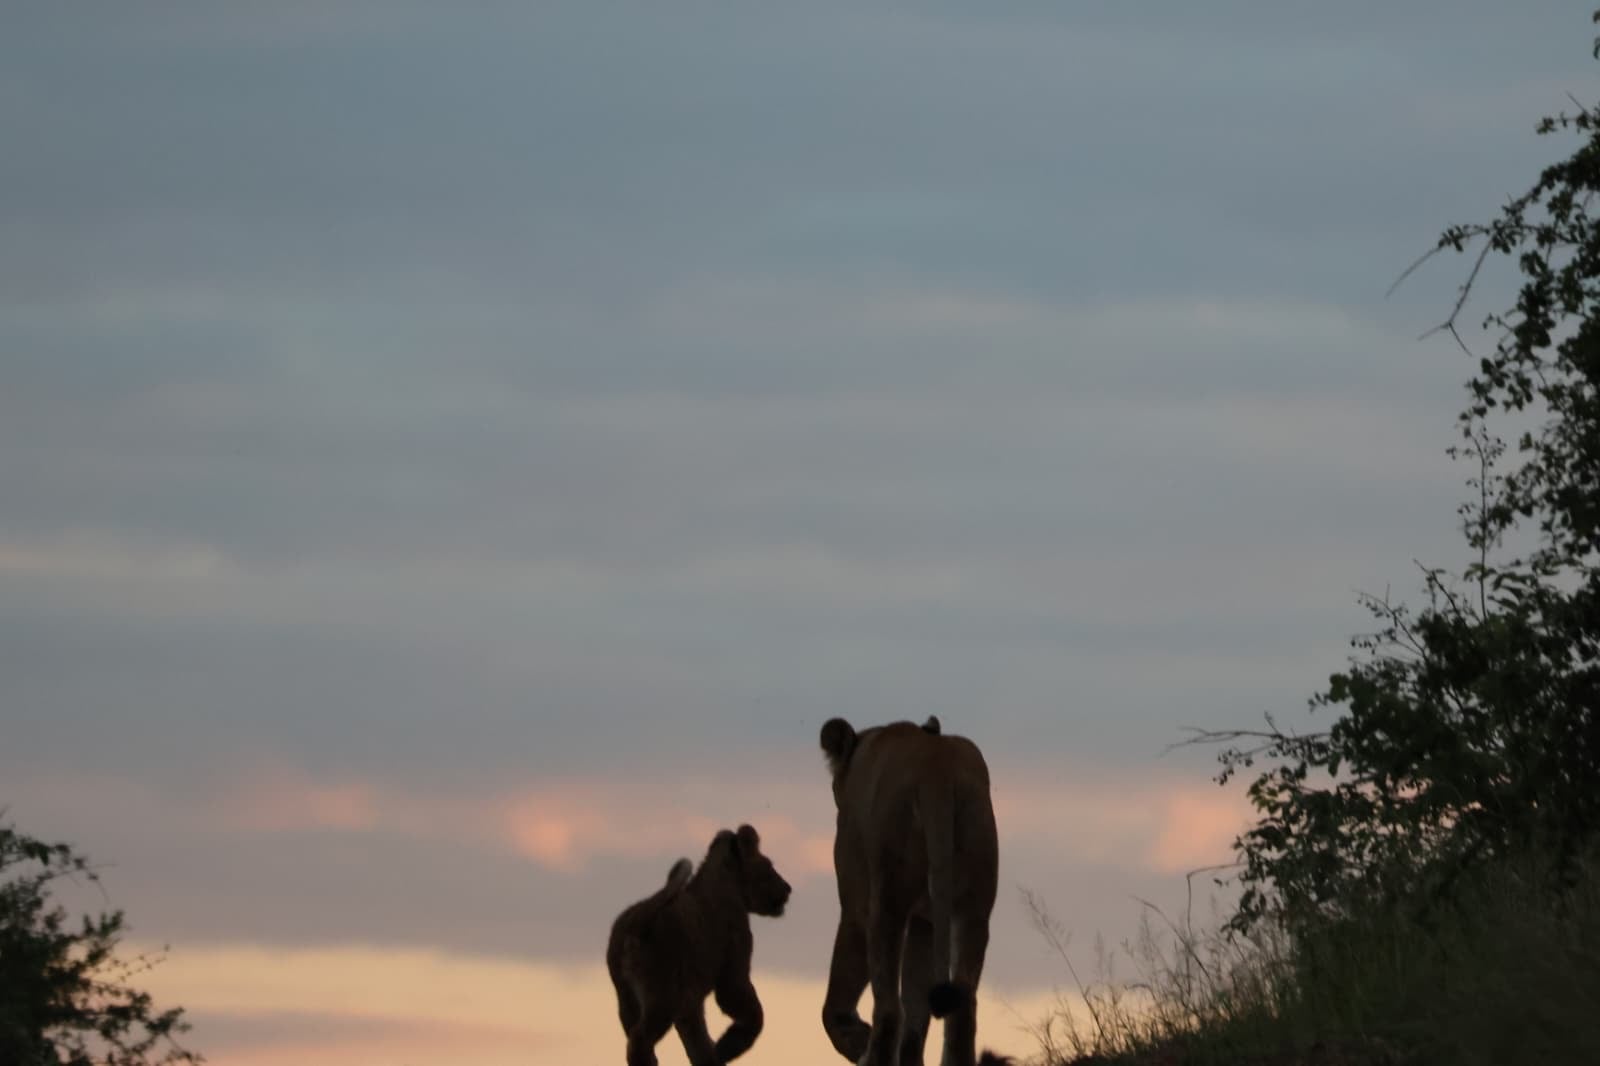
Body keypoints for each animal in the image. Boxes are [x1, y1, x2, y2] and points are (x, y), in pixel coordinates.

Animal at [605, 824, 793, 1066]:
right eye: (768, 866)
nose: (788, 888)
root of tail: (638, 918)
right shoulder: (732, 969)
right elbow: (754, 1014)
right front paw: (726, 1048)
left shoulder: (690, 1001)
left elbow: (697, 1041)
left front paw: (712, 1055)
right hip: (662, 993)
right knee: (640, 1039)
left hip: (626, 996)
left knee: (632, 1034)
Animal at [819, 716, 1009, 1066]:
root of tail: (937, 768)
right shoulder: (925, 921)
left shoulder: (855, 904)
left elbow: (839, 989)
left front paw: (853, 1038)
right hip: (974, 904)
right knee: (960, 1005)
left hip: (888, 902)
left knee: (890, 1008)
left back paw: (873, 1055)